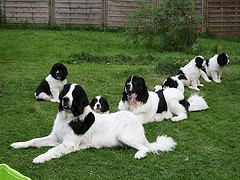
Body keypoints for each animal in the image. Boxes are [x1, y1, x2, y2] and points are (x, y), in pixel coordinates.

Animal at [10, 83, 176, 164]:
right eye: (65, 91)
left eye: (74, 94)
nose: (65, 99)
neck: (70, 117)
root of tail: (136, 121)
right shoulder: (56, 137)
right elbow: (34, 140)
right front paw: (19, 144)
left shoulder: (67, 143)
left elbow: (51, 150)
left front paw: (40, 158)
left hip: (124, 135)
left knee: (145, 148)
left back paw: (139, 154)